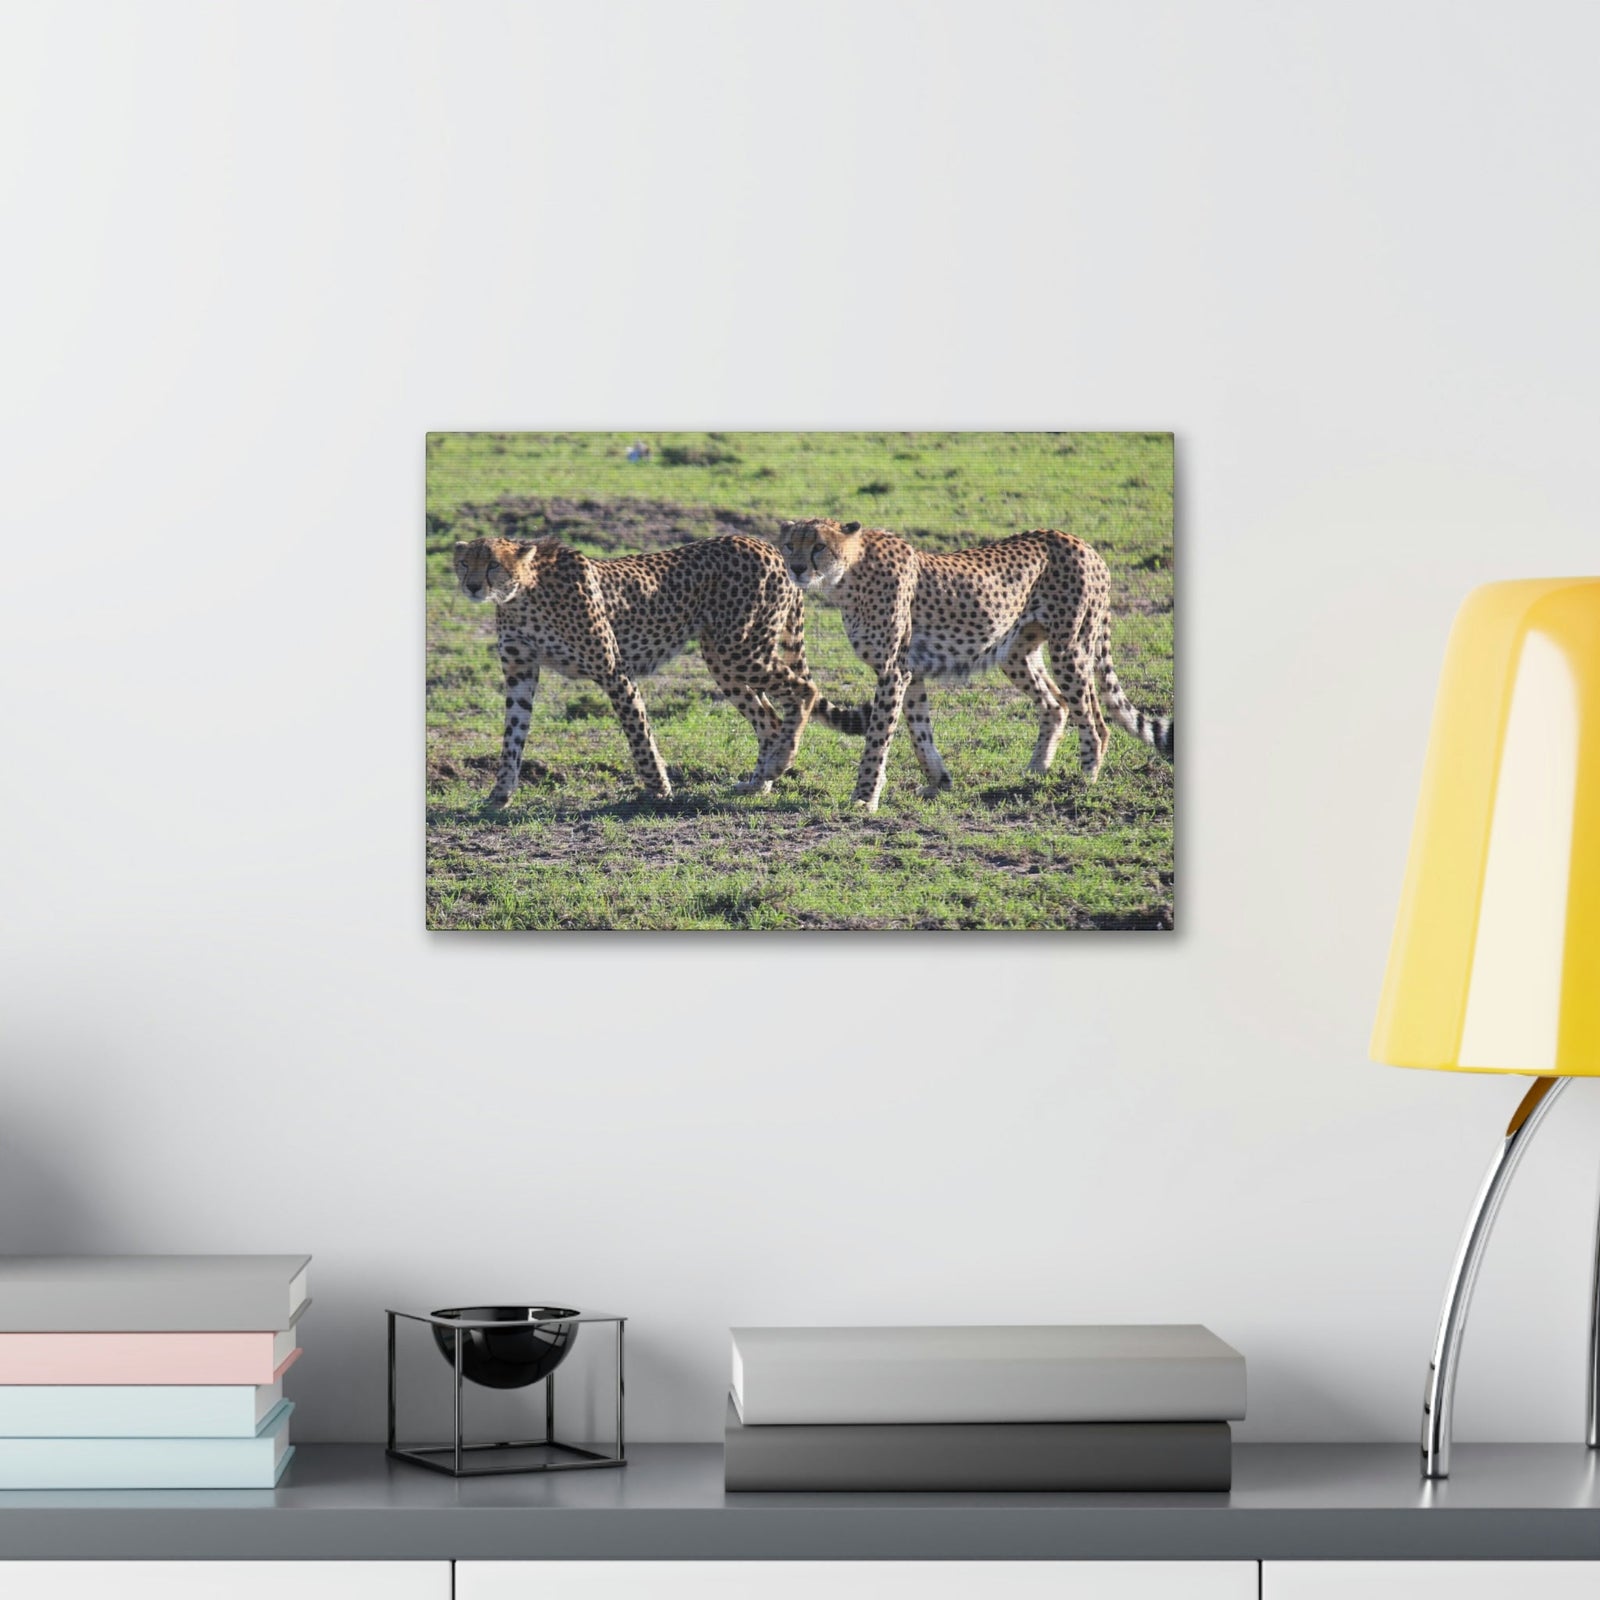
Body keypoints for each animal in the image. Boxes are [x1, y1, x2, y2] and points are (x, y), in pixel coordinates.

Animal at [452, 533, 864, 805]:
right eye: (464, 563)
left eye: (492, 565)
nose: (471, 587)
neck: (521, 595)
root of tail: (770, 547)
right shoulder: (520, 674)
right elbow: (512, 737)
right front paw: (499, 794)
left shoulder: (613, 671)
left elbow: (638, 732)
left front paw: (658, 788)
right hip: (723, 658)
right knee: (769, 719)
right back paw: (759, 782)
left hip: (740, 650)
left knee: (803, 691)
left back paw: (780, 762)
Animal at [775, 518, 1173, 813]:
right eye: (789, 545)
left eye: (818, 546)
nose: (796, 567)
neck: (847, 576)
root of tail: (1082, 543)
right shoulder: (910, 671)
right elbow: (920, 731)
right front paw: (938, 782)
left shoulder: (893, 671)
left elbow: (878, 737)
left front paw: (864, 797)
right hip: (1014, 651)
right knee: (1055, 703)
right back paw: (1035, 771)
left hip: (1071, 646)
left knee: (1094, 718)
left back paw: (1085, 778)